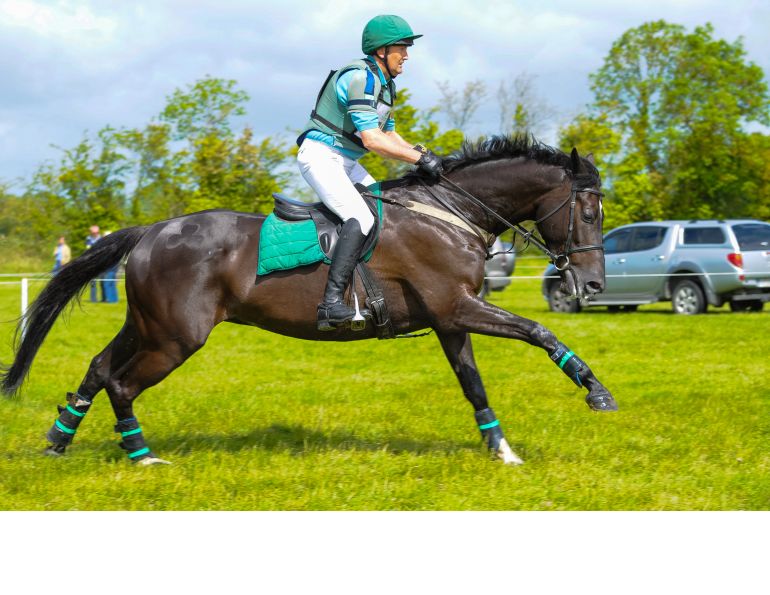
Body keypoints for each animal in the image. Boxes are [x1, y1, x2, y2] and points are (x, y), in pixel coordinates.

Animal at [0, 135, 617, 466]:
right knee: (122, 382)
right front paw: (596, 391)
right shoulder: (456, 307)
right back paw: (141, 455)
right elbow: (539, 331)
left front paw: (502, 451)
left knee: (99, 366)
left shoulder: (450, 319)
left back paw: (58, 441)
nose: (592, 287)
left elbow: (474, 384)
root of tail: (152, 230)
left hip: (148, 325)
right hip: (176, 337)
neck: (450, 213)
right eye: (588, 212)